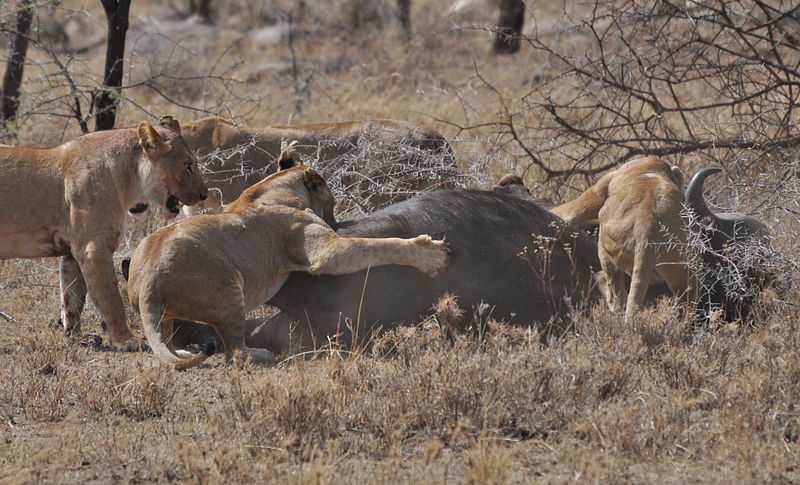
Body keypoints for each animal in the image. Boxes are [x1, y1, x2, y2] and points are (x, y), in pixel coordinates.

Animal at [0, 116, 209, 348]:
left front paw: (75, 337)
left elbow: (72, 298)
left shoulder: (72, 252)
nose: (204, 194)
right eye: (188, 165)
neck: (127, 177)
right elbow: (111, 299)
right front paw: (126, 340)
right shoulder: (94, 248)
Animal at [126, 146, 450, 368]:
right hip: (229, 291)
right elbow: (379, 245)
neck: (271, 188)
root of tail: (148, 282)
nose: (335, 222)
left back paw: (179, 352)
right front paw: (429, 252)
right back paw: (260, 354)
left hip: (168, 308)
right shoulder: (326, 253)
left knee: (167, 336)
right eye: (333, 201)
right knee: (235, 350)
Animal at [552, 157, 696, 320]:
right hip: (684, 269)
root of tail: (648, 229)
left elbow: (568, 211)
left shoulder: (598, 191)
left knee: (617, 297)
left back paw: (602, 283)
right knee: (686, 304)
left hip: (606, 245)